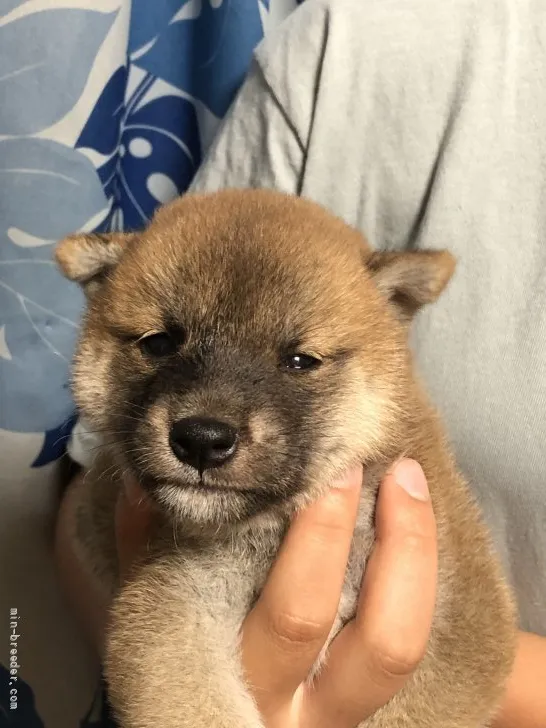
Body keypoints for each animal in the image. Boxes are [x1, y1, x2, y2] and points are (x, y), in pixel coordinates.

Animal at [55, 191, 516, 728]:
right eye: (159, 343)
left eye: (300, 360)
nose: (202, 439)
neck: (271, 533)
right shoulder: (179, 605)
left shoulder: (458, 619)